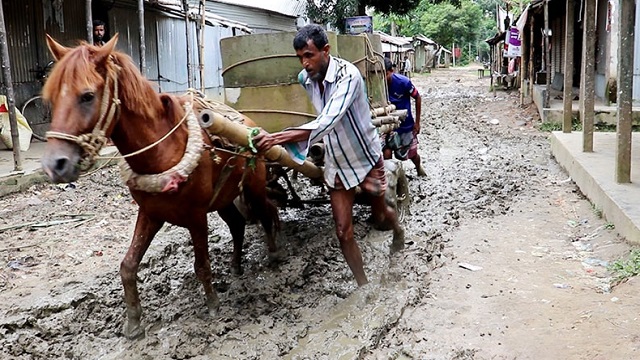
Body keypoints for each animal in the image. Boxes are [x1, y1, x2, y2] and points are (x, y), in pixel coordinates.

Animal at [40, 35, 280, 338]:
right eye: (51, 98)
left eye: (87, 96)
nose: (54, 165)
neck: (162, 150)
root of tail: (250, 126)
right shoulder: (150, 213)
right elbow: (128, 266)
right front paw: (133, 322)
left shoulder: (196, 216)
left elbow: (202, 265)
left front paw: (213, 306)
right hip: (224, 198)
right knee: (238, 224)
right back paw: (236, 265)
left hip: (254, 187)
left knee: (267, 212)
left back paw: (274, 254)